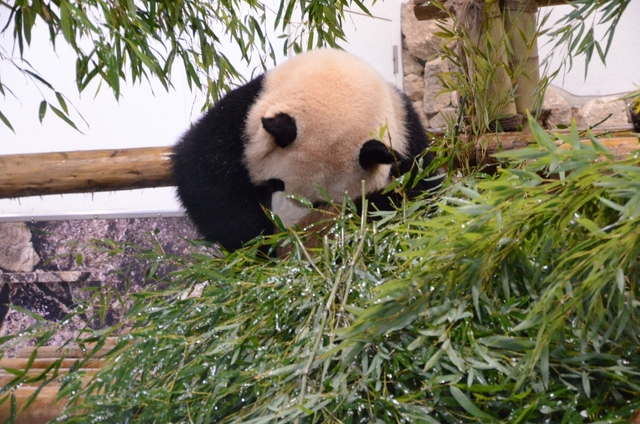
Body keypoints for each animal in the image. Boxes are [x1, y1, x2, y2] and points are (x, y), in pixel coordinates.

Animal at [170, 47, 440, 252]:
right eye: (274, 183)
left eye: (319, 202)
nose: (282, 226)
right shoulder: (246, 114)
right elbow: (205, 174)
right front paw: (258, 243)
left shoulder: (406, 141)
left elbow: (416, 203)